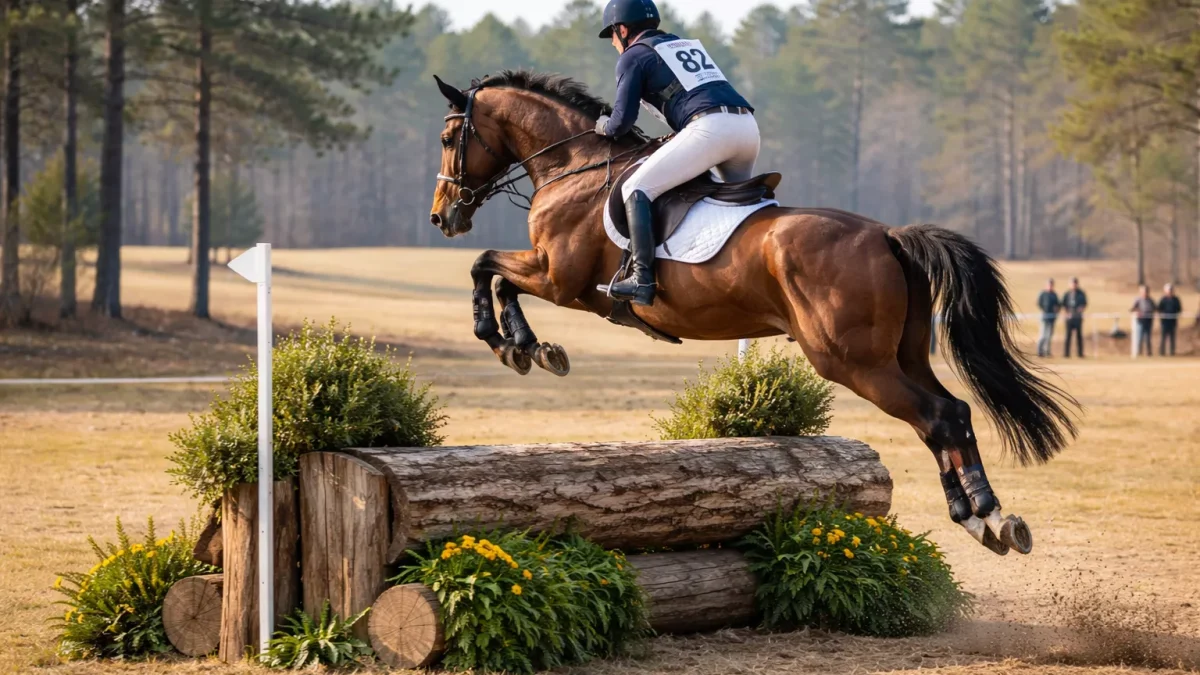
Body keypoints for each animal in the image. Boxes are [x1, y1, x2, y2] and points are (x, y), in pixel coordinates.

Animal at [427, 70, 1078, 555]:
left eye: (447, 138)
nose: (442, 216)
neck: (573, 166)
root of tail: (889, 235)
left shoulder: (559, 277)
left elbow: (486, 267)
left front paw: (509, 342)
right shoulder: (554, 276)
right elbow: (496, 274)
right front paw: (530, 347)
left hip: (853, 361)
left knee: (938, 416)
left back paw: (984, 515)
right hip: (902, 354)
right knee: (952, 414)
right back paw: (985, 518)